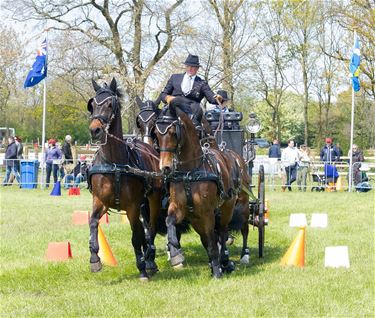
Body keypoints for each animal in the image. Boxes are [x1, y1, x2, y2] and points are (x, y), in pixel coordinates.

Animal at [86, 78, 163, 280]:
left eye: (110, 104)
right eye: (92, 105)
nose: (95, 130)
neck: (115, 164)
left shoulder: (132, 207)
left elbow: (136, 237)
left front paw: (142, 268)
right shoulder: (100, 201)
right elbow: (93, 223)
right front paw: (95, 260)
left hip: (153, 199)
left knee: (150, 228)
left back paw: (150, 260)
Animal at [155, 100, 244, 278]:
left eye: (173, 133)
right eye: (156, 134)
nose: (165, 168)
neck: (190, 172)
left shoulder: (207, 212)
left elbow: (212, 240)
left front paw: (217, 270)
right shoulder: (179, 208)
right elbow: (170, 222)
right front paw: (175, 254)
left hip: (227, 207)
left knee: (222, 232)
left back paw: (224, 261)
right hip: (195, 218)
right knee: (207, 237)